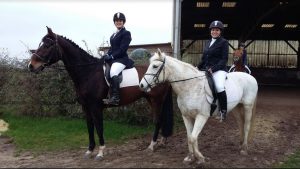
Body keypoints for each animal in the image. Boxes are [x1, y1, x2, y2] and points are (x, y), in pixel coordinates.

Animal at [28, 26, 173, 160]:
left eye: (47, 45)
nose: (31, 66)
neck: (88, 72)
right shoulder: (86, 107)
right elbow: (90, 127)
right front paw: (89, 151)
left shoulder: (96, 107)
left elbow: (99, 127)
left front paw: (100, 152)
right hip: (151, 99)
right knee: (160, 119)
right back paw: (161, 142)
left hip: (156, 99)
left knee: (157, 120)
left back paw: (152, 146)